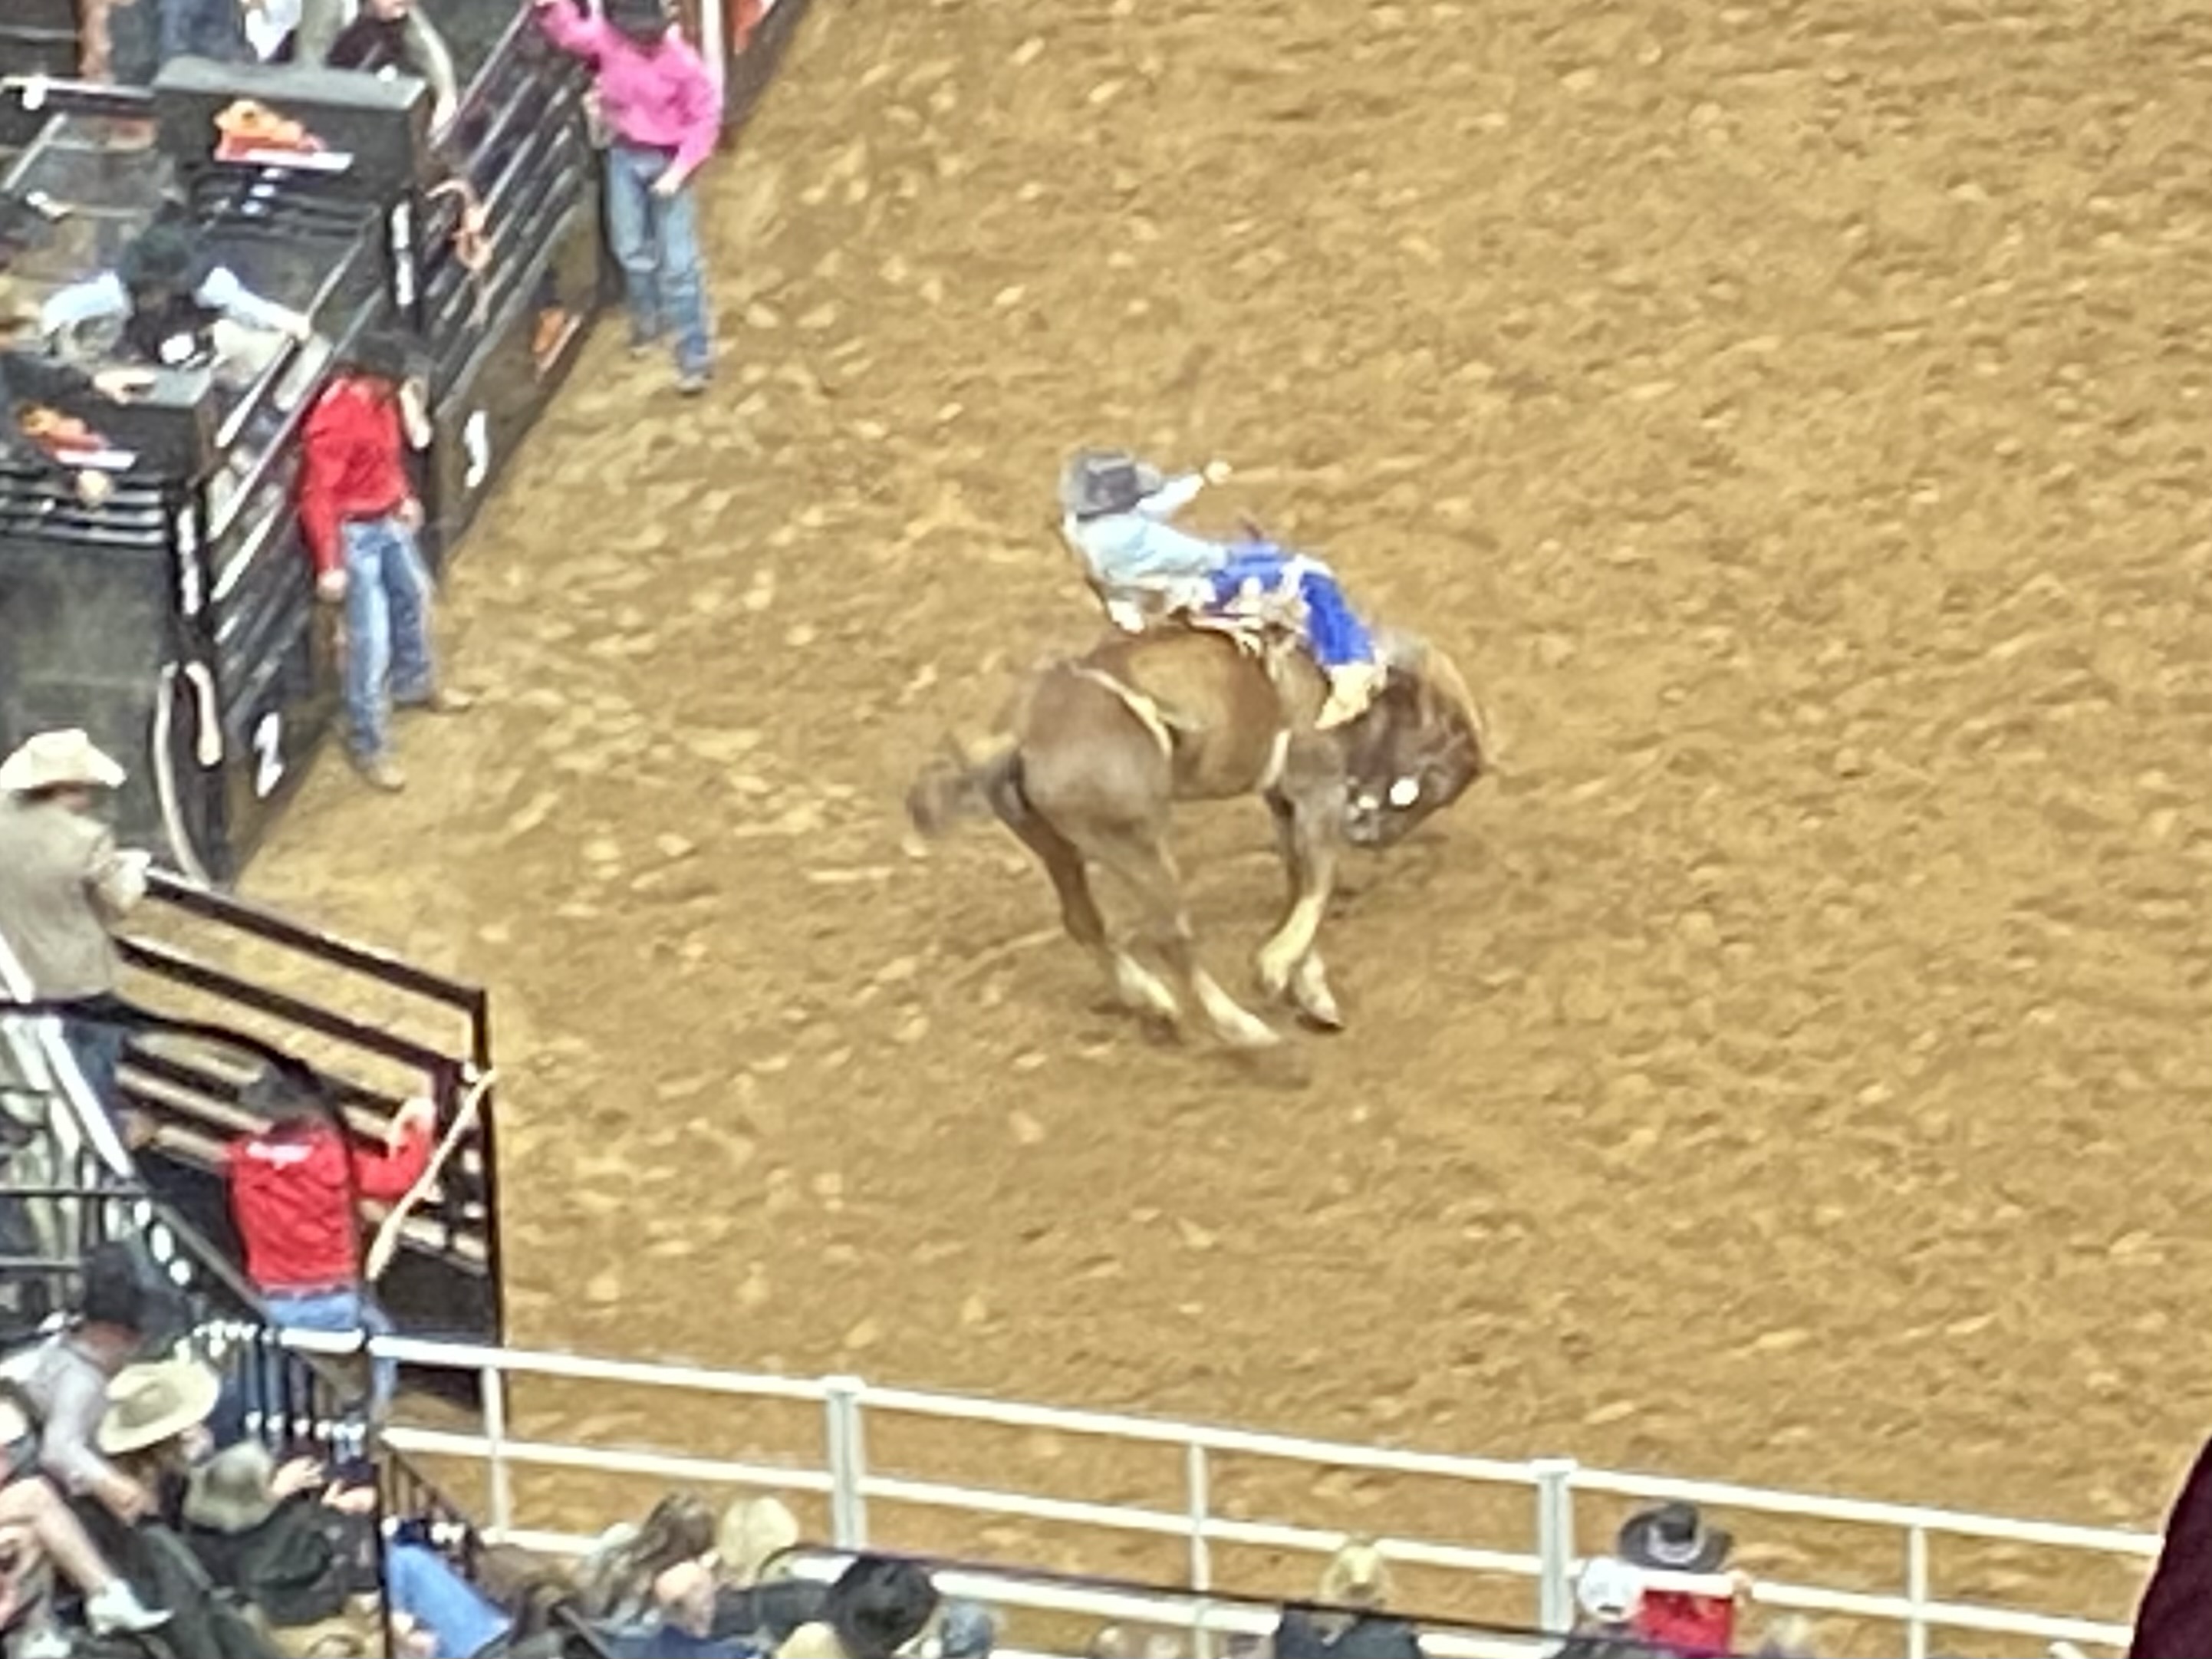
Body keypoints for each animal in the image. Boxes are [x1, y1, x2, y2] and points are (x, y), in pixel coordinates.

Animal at [906, 621, 1487, 1048]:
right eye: (1426, 783)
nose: (1371, 833)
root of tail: (1021, 734)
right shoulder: (1316, 793)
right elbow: (1317, 881)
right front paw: (1276, 968)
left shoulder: (1284, 803)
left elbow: (1297, 881)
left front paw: (1309, 988)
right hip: (1139, 846)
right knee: (1171, 937)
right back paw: (1242, 1028)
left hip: (1055, 844)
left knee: (1085, 922)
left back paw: (1151, 1000)